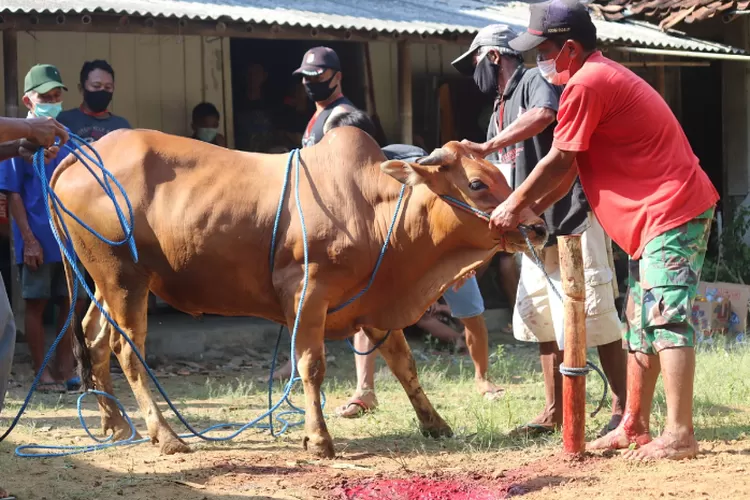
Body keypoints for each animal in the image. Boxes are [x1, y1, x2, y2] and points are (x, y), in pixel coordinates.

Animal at [51, 125, 548, 458]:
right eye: (477, 183)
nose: (538, 227)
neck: (374, 209)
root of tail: (83, 152)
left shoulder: (374, 304)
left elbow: (405, 366)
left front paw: (435, 423)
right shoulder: (308, 293)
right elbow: (311, 365)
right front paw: (319, 438)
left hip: (107, 283)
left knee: (95, 339)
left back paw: (116, 424)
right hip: (124, 278)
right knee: (126, 348)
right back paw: (167, 436)